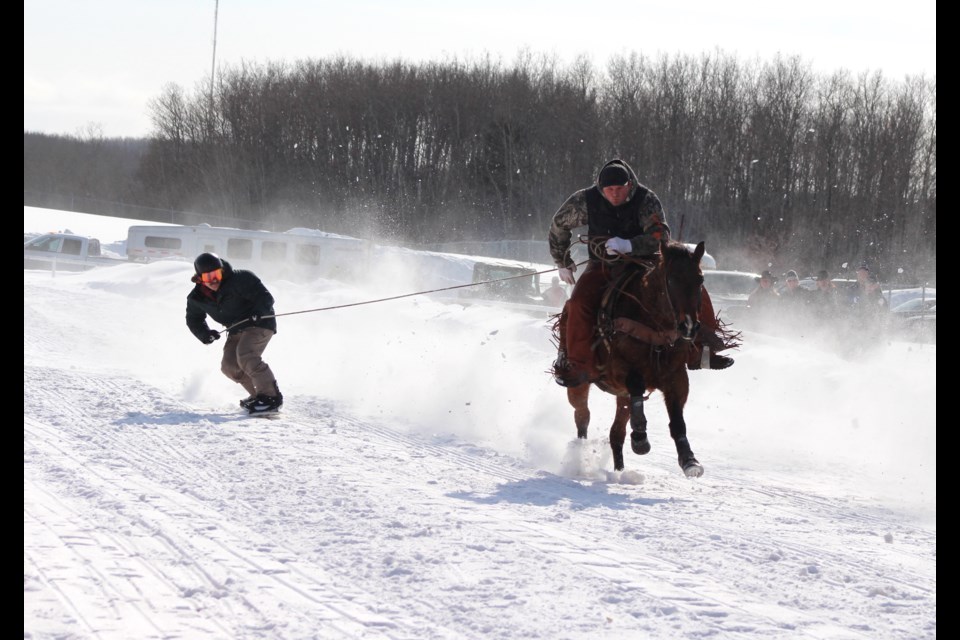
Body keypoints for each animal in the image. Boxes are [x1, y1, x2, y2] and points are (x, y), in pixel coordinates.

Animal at [560, 240, 708, 476]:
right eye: (671, 280)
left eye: (700, 279)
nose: (689, 326)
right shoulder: (621, 372)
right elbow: (637, 384)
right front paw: (640, 438)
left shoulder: (676, 377)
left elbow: (677, 420)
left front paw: (689, 460)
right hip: (578, 381)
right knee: (582, 414)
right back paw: (581, 452)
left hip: (620, 396)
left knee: (616, 433)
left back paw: (620, 470)